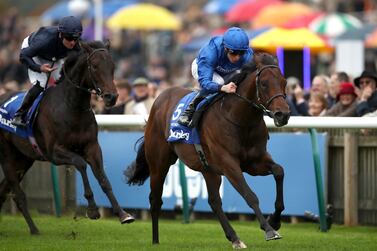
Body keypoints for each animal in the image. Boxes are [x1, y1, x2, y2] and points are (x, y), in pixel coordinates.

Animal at [0, 40, 134, 234]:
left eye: (113, 67)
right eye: (94, 66)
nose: (112, 97)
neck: (72, 107)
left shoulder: (92, 147)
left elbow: (103, 178)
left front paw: (123, 214)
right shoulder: (54, 153)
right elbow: (81, 163)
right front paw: (92, 209)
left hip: (23, 159)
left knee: (4, 190)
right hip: (7, 157)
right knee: (18, 195)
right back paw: (34, 229)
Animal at [125, 52, 290, 249]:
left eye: (284, 82)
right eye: (264, 84)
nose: (283, 114)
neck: (240, 120)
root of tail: (160, 97)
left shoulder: (254, 162)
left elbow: (279, 171)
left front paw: (275, 220)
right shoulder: (229, 165)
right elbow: (250, 195)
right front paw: (269, 230)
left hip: (208, 169)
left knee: (214, 201)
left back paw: (235, 238)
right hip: (159, 163)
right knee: (155, 199)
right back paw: (155, 240)